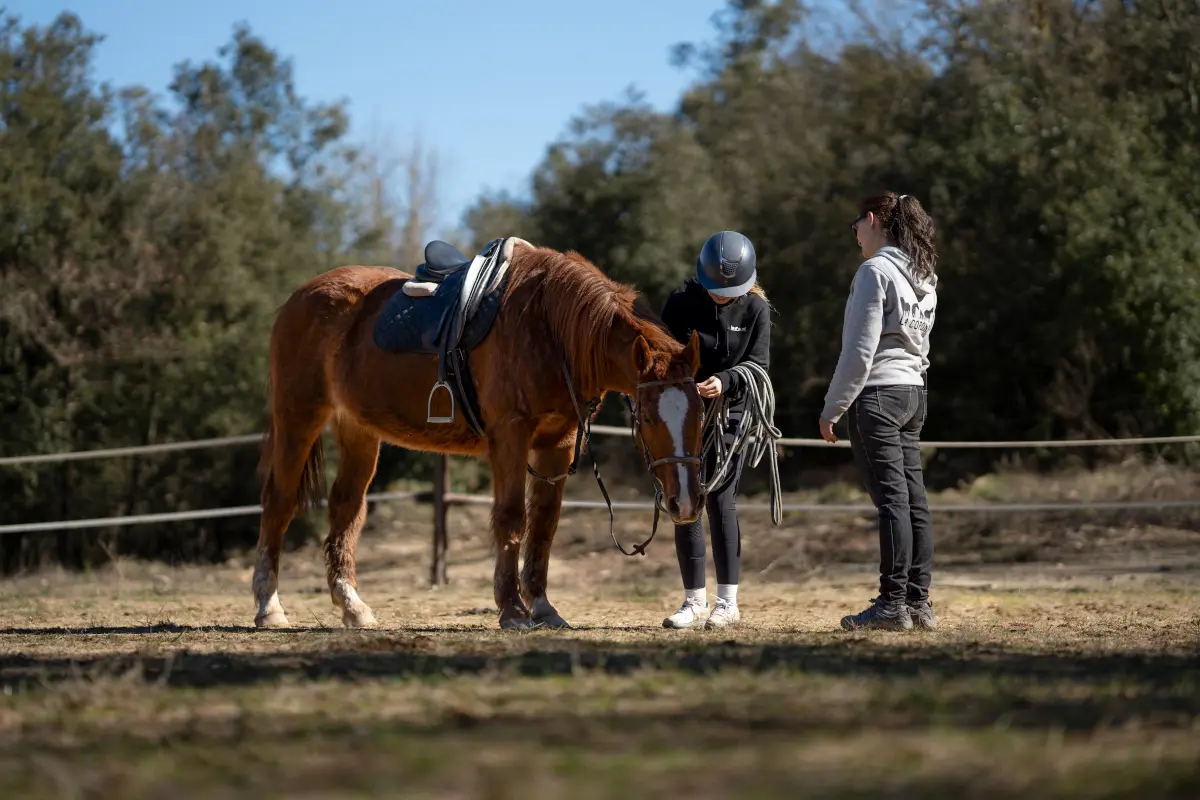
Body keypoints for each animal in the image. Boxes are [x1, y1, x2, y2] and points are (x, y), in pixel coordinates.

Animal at [251, 238, 706, 630]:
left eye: (702, 411)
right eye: (648, 418)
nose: (685, 503)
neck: (548, 327)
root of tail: (299, 297)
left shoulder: (557, 444)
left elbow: (544, 522)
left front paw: (543, 607)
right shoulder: (510, 435)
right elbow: (511, 516)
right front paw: (513, 609)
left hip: (358, 431)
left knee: (346, 507)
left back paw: (353, 607)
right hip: (299, 417)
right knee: (279, 502)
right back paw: (269, 607)